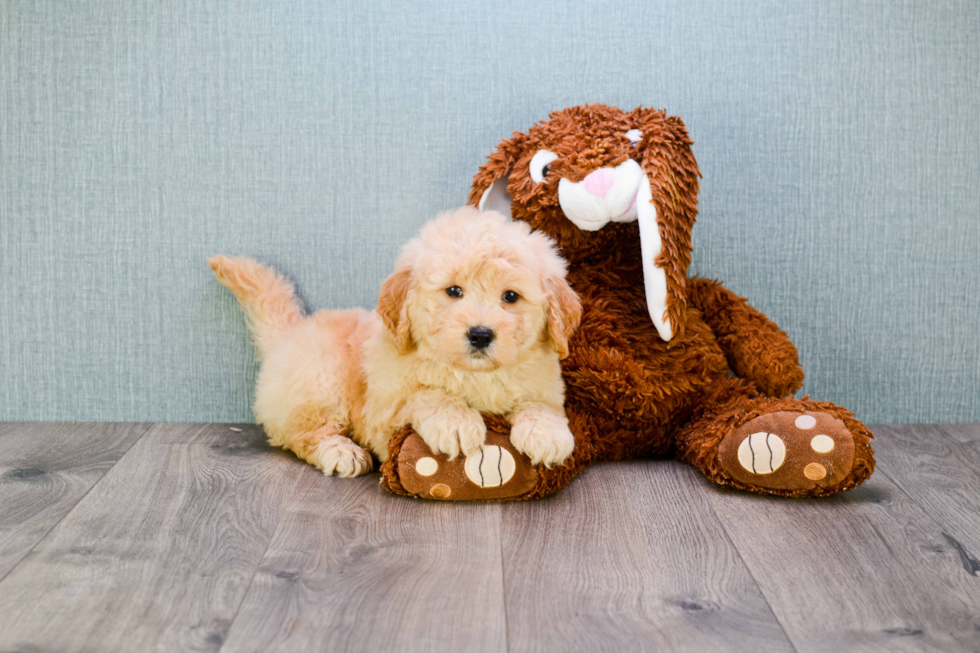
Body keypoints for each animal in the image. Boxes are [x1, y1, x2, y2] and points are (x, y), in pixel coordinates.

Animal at [209, 206, 580, 476]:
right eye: (454, 291)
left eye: (511, 296)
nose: (480, 334)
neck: (474, 375)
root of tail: (290, 333)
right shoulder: (382, 415)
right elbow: (425, 393)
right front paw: (455, 422)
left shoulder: (545, 387)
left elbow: (539, 406)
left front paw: (547, 433)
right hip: (321, 382)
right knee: (302, 434)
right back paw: (341, 451)